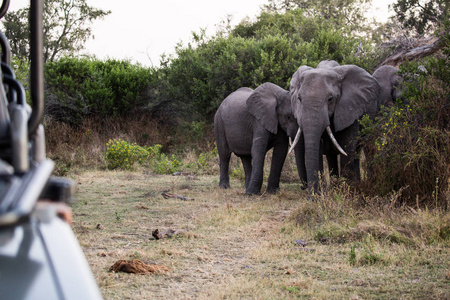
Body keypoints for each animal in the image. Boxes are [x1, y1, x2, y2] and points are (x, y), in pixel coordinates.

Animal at [288, 60, 384, 196]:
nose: (304, 189)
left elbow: (346, 146)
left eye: (330, 99)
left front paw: (346, 193)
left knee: (359, 150)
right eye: (299, 99)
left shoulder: (350, 108)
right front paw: (321, 196)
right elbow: (318, 147)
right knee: (332, 156)